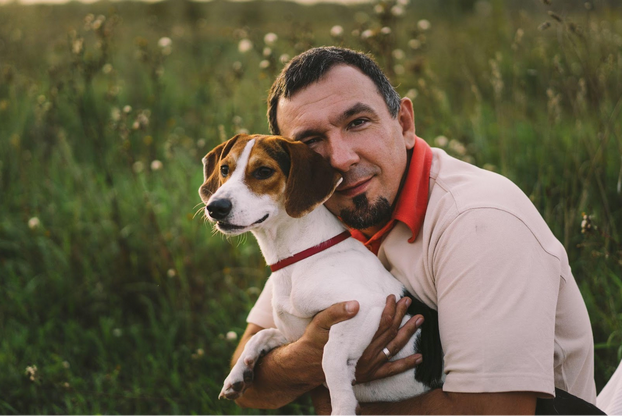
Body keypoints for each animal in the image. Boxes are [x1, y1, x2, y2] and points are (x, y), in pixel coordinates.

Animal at [200, 134, 442, 416]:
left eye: (264, 171)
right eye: (224, 169)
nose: (215, 207)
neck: (298, 258)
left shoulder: (364, 306)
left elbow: (330, 358)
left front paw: (342, 406)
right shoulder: (296, 335)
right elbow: (262, 335)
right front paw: (238, 373)